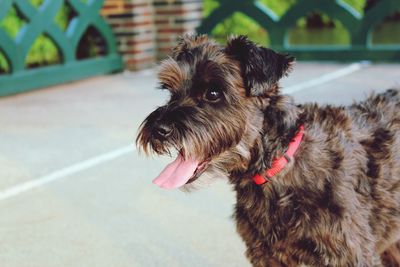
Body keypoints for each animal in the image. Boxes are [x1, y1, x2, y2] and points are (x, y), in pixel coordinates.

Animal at [138, 34, 400, 266]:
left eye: (213, 93)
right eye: (170, 91)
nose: (159, 129)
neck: (279, 165)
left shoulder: (350, 254)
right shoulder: (266, 254)